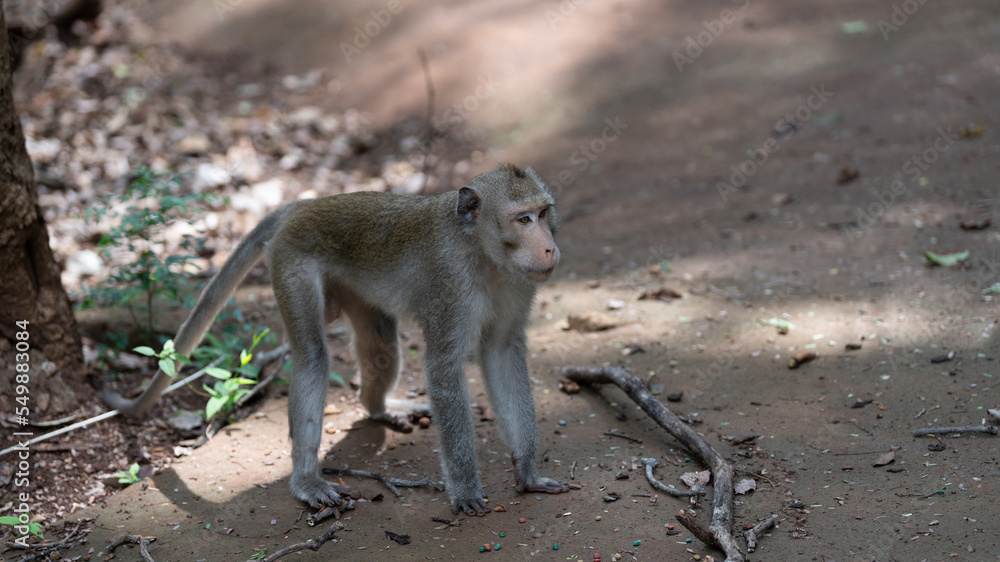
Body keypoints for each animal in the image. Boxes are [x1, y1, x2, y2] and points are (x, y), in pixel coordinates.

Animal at [103, 163, 570, 515]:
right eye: (523, 219)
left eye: (544, 213)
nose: (549, 248)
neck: (482, 253)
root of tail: (304, 204)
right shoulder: (450, 286)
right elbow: (443, 370)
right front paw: (466, 490)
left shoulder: (518, 284)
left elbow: (501, 352)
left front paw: (527, 473)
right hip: (291, 263)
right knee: (313, 356)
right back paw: (307, 479)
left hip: (353, 287)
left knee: (380, 343)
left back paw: (380, 407)